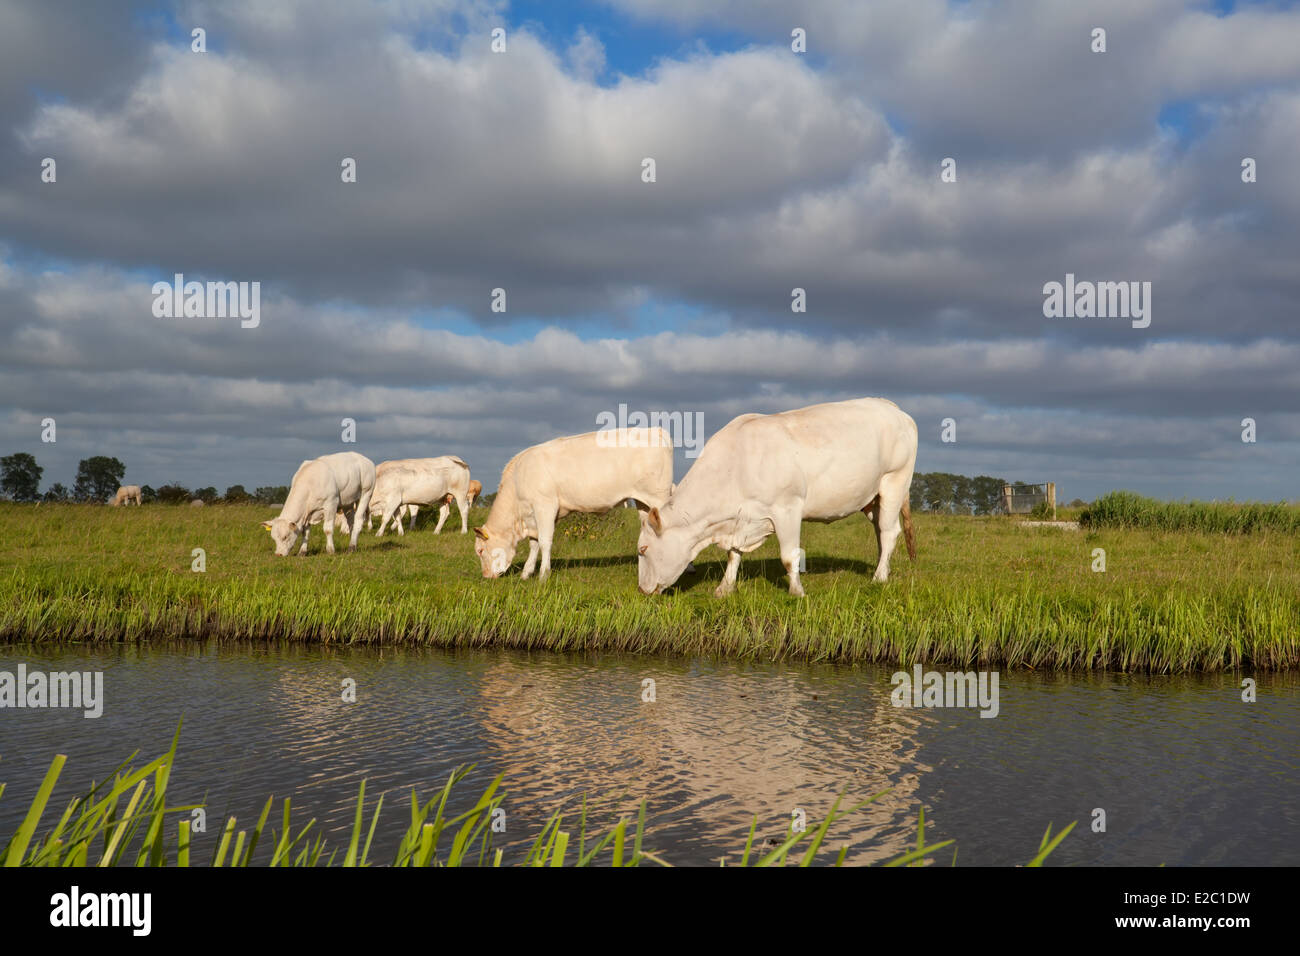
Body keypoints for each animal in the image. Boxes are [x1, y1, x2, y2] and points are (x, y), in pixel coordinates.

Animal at [473, 429, 670, 582]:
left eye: (480, 550)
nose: (486, 576)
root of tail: (656, 430)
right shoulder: (533, 517)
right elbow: (534, 544)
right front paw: (526, 573)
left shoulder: (545, 506)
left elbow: (544, 542)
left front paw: (543, 575)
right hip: (643, 503)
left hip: (658, 498)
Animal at [634, 398, 920, 598]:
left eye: (643, 549)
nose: (641, 590)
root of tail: (891, 406)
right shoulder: (742, 518)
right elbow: (733, 555)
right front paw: (724, 588)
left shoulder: (787, 508)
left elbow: (789, 556)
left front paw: (797, 592)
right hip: (872, 499)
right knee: (880, 530)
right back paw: (883, 569)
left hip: (895, 481)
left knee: (889, 531)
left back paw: (879, 577)